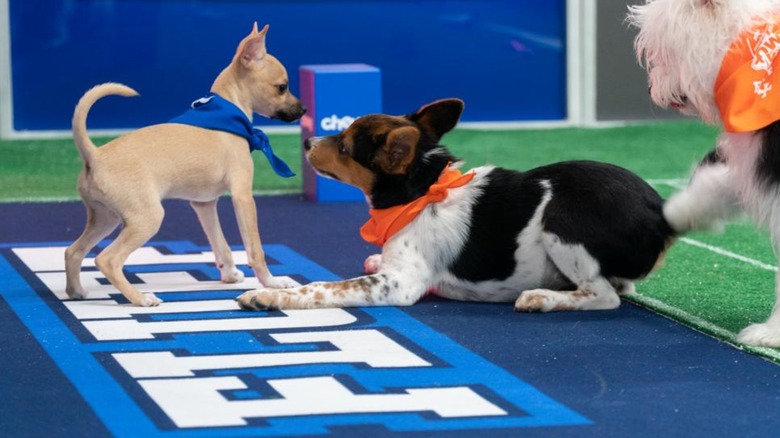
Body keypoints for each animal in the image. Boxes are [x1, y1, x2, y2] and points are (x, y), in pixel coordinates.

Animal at [65, 22, 306, 306]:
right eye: (282, 87)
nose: (303, 110)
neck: (228, 111)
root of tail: (95, 154)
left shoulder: (205, 204)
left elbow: (220, 243)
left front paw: (229, 273)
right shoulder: (243, 197)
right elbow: (255, 249)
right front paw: (271, 283)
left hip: (106, 218)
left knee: (73, 251)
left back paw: (76, 291)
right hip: (146, 219)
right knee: (108, 260)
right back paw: (140, 298)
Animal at [236, 99, 676, 312]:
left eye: (344, 146)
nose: (308, 141)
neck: (418, 194)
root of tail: (662, 214)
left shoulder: (397, 284)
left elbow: (321, 288)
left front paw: (268, 296)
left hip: (561, 221)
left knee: (605, 295)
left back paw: (542, 298)